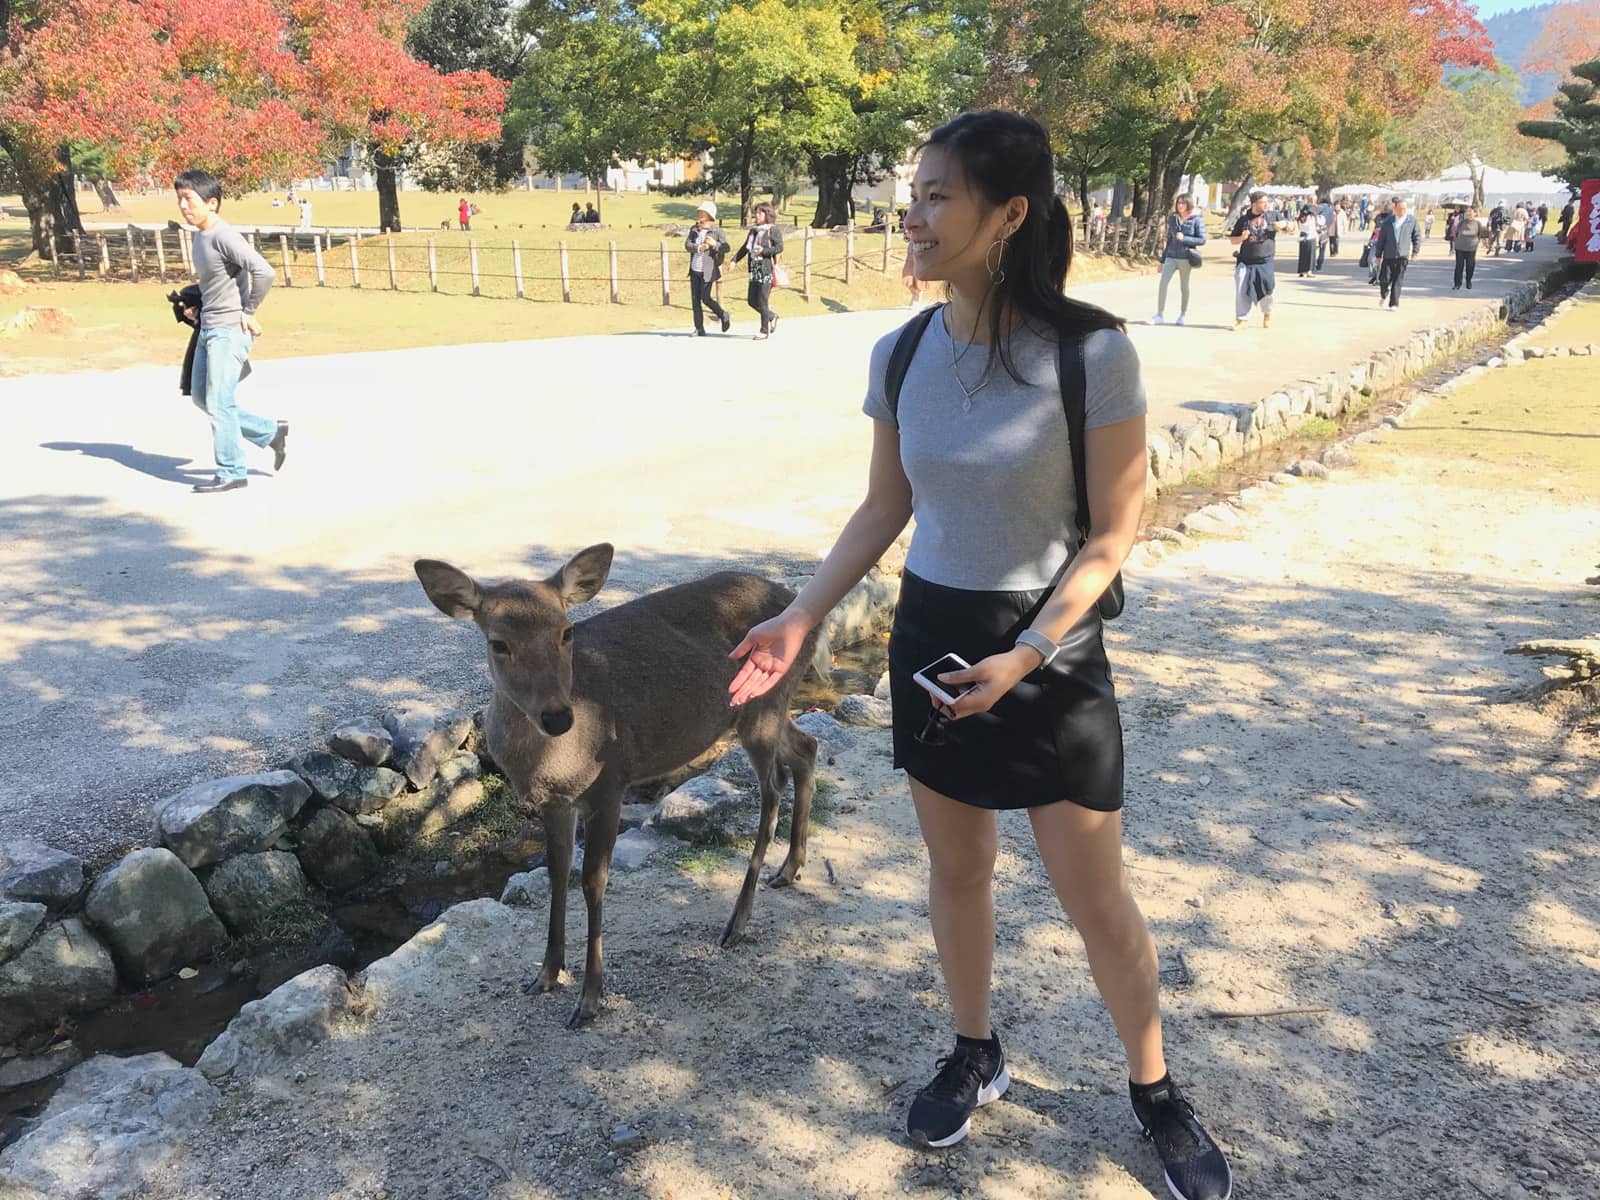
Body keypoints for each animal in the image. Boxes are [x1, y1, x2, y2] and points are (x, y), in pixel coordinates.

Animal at [409, 550, 825, 1030]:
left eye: (566, 631)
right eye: (498, 643)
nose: (557, 716)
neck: (548, 762)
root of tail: (806, 610)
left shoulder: (610, 785)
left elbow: (593, 883)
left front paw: (589, 999)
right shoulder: (553, 803)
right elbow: (557, 874)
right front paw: (546, 975)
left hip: (762, 705)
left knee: (773, 786)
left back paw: (737, 923)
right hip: (767, 709)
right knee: (807, 748)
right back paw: (790, 868)